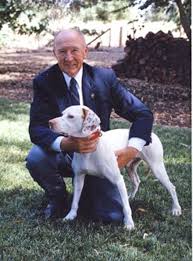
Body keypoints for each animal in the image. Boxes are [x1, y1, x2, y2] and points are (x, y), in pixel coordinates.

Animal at [51, 104, 181, 229]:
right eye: (62, 114)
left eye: (71, 116)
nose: (50, 122)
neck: (91, 150)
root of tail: (152, 134)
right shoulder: (79, 178)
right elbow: (75, 202)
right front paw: (70, 216)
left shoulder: (118, 180)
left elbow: (126, 208)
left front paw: (129, 224)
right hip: (130, 167)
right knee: (137, 181)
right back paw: (131, 197)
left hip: (157, 168)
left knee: (172, 187)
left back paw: (176, 209)